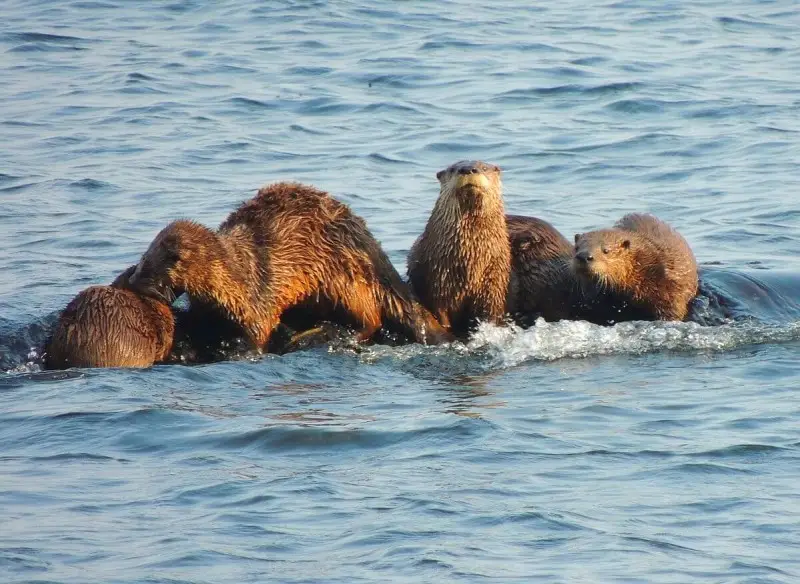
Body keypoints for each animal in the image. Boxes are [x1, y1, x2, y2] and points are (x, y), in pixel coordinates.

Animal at [127, 182, 451, 352]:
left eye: (151, 269)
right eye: (141, 262)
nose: (134, 282)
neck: (233, 274)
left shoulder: (257, 300)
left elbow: (258, 332)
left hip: (343, 277)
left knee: (370, 318)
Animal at [407, 160, 511, 337]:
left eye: (484, 168)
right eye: (453, 169)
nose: (467, 169)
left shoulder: (494, 279)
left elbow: (491, 313)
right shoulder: (437, 279)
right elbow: (440, 312)